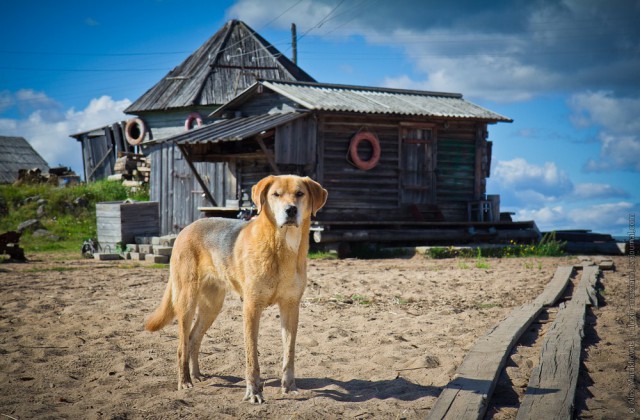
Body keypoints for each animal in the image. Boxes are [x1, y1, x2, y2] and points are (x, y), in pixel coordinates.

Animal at [143, 175, 328, 404]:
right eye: (276, 194)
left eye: (300, 194)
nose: (291, 210)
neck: (282, 247)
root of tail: (185, 228)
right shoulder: (251, 307)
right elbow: (252, 357)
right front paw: (253, 392)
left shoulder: (291, 307)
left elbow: (289, 353)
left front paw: (289, 387)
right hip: (187, 302)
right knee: (181, 345)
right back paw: (185, 381)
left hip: (212, 306)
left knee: (194, 338)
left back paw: (196, 375)